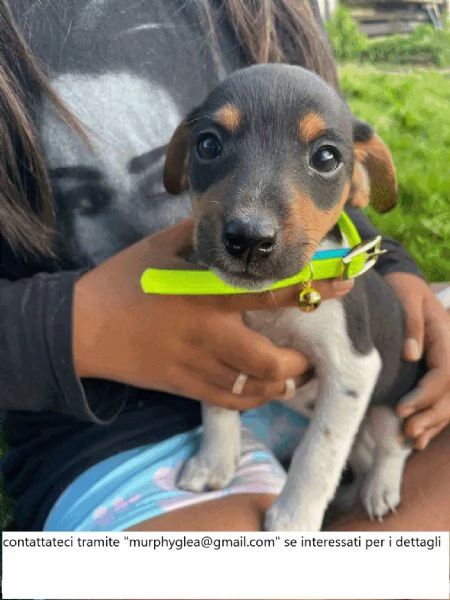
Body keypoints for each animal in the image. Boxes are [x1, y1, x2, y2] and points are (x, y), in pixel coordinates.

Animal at [163, 63, 424, 528]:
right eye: (208, 145)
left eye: (326, 158)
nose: (249, 239)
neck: (274, 302)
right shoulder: (219, 347)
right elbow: (216, 406)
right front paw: (213, 464)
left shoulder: (353, 370)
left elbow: (317, 452)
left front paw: (293, 519)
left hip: (390, 403)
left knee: (396, 442)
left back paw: (381, 488)